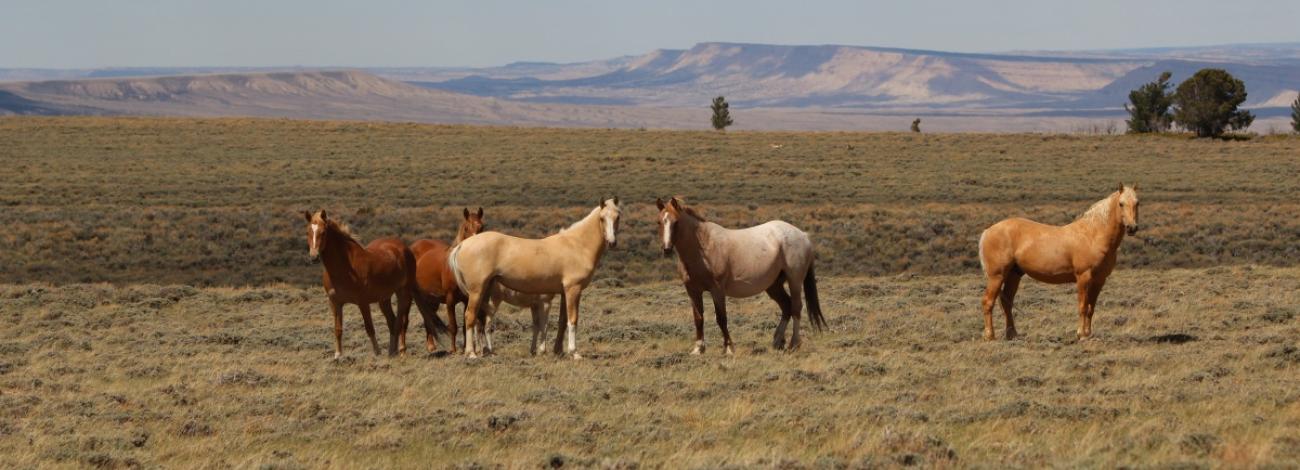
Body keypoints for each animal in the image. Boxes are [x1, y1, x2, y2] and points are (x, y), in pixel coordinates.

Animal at [302, 211, 441, 358]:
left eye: (323, 232)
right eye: (308, 232)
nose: (314, 257)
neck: (346, 267)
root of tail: (405, 248)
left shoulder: (362, 302)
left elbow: (369, 328)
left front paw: (377, 353)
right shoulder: (335, 303)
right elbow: (338, 329)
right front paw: (338, 355)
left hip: (403, 293)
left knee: (399, 322)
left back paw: (398, 350)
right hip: (384, 299)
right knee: (392, 322)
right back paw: (393, 351)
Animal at [408, 206, 486, 353]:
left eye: (482, 227)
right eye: (466, 228)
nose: (475, 247)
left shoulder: (466, 300)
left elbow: (464, 325)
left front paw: (465, 348)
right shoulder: (450, 301)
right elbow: (453, 326)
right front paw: (453, 350)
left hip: (432, 299)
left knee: (429, 317)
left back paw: (431, 345)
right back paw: (430, 346)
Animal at [452, 196, 624, 358]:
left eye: (617, 216)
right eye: (602, 218)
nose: (612, 242)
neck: (577, 245)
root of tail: (462, 245)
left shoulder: (563, 292)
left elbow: (562, 321)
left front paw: (558, 351)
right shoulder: (573, 289)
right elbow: (572, 320)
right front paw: (574, 353)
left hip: (485, 292)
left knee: (480, 320)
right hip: (477, 291)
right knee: (470, 317)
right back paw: (471, 353)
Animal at [655, 196, 826, 353]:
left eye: (676, 222)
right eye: (659, 222)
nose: (667, 249)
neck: (703, 247)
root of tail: (803, 235)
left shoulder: (717, 290)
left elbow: (721, 318)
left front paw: (729, 348)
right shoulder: (693, 291)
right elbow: (698, 318)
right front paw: (698, 349)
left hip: (794, 280)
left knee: (796, 307)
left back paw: (794, 344)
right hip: (774, 285)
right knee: (786, 306)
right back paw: (777, 341)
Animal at [977, 184, 1144, 342]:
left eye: (1137, 203)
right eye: (1121, 203)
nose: (1132, 228)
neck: (1092, 235)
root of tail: (988, 230)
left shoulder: (1099, 280)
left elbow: (1091, 308)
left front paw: (1088, 334)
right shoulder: (1083, 277)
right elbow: (1083, 306)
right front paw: (1081, 335)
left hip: (1014, 275)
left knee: (1007, 302)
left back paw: (1012, 334)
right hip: (997, 276)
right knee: (988, 302)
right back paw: (990, 336)